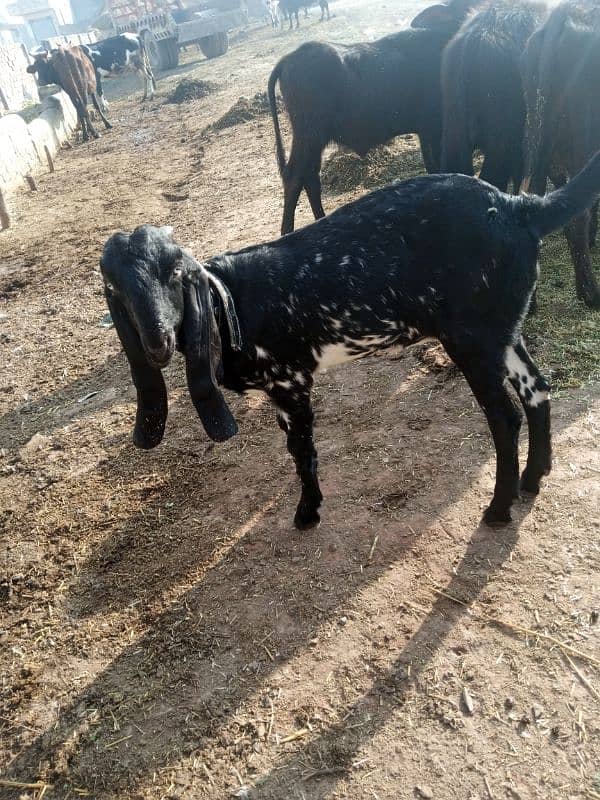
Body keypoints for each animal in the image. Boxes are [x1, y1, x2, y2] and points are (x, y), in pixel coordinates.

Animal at [101, 155, 600, 532]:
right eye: (115, 288)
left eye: (174, 273)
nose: (158, 340)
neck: (233, 303)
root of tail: (519, 206)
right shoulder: (280, 391)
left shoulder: (290, 381)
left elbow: (302, 452)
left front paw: (307, 514)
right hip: (501, 327)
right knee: (537, 387)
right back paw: (533, 479)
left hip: (472, 339)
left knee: (505, 417)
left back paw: (498, 508)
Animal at [268, 1, 468, 234]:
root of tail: (289, 58)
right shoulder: (436, 127)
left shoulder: (425, 131)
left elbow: (432, 167)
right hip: (308, 135)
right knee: (294, 177)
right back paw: (288, 231)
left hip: (315, 140)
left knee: (310, 177)